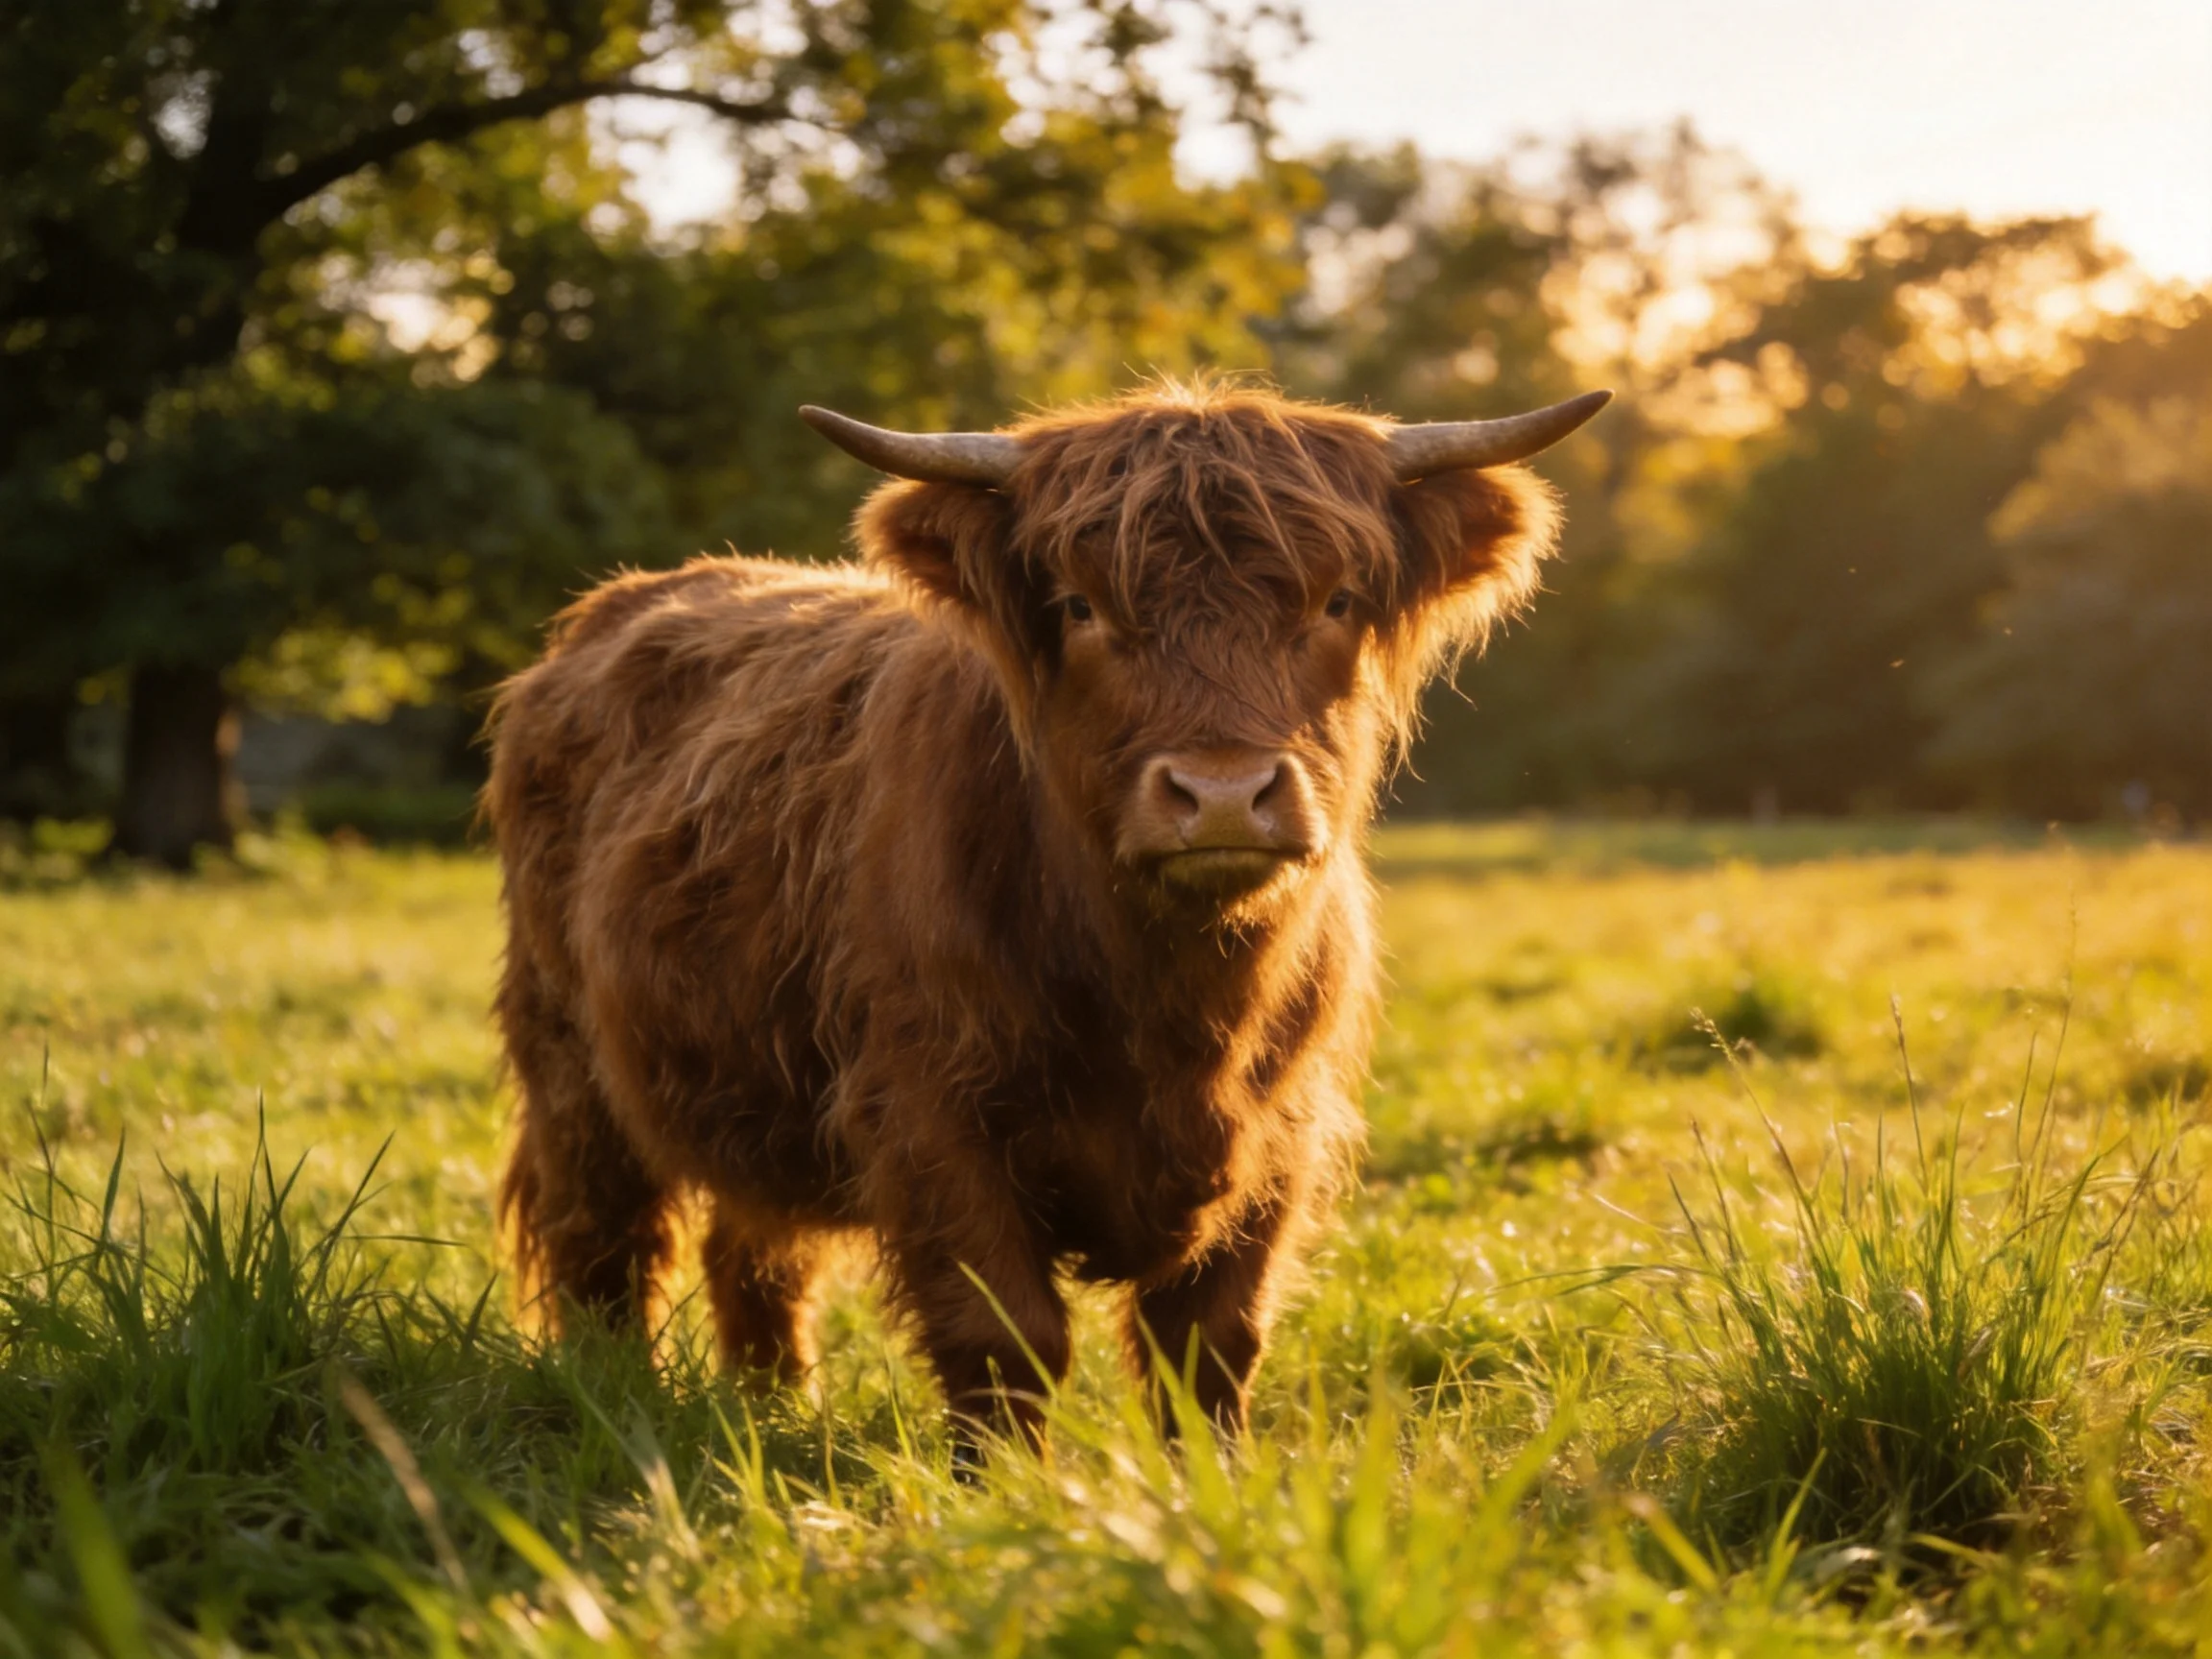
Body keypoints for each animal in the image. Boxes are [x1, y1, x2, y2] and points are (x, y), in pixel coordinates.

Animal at [483, 378, 1608, 1448]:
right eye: (1077, 605)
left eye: (1336, 599)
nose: (1222, 794)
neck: (1171, 1006)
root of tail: (621, 606)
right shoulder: (929, 1116)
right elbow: (1004, 1337)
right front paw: (1004, 1492)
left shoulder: (1282, 1128)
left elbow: (1211, 1342)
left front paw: (1209, 1486)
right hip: (569, 1058)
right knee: (602, 1241)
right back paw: (610, 1397)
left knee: (753, 1248)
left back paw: (778, 1407)